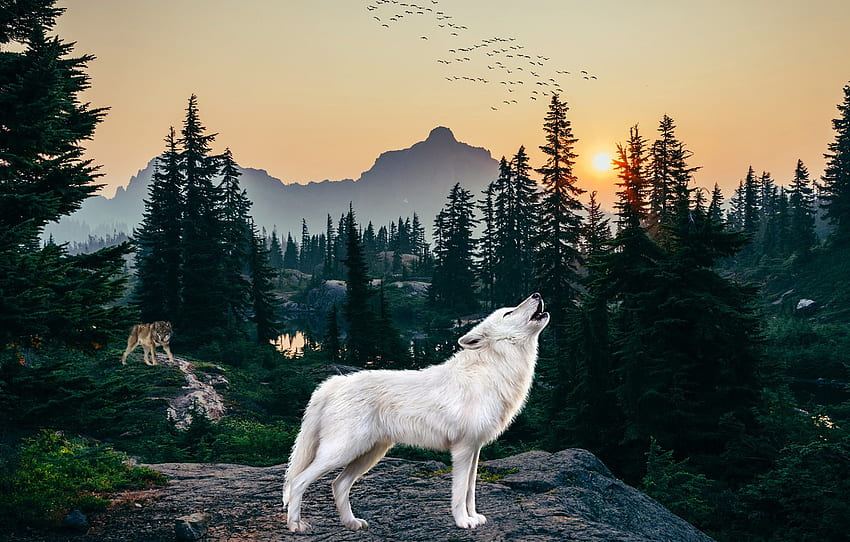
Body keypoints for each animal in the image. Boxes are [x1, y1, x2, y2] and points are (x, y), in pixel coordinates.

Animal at [284, 296, 548, 532]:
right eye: (508, 312)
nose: (537, 294)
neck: (491, 370)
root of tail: (331, 384)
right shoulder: (462, 449)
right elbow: (459, 492)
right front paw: (463, 522)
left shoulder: (475, 449)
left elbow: (470, 491)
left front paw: (474, 517)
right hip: (342, 452)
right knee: (298, 481)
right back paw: (296, 526)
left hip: (368, 454)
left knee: (338, 485)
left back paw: (351, 524)